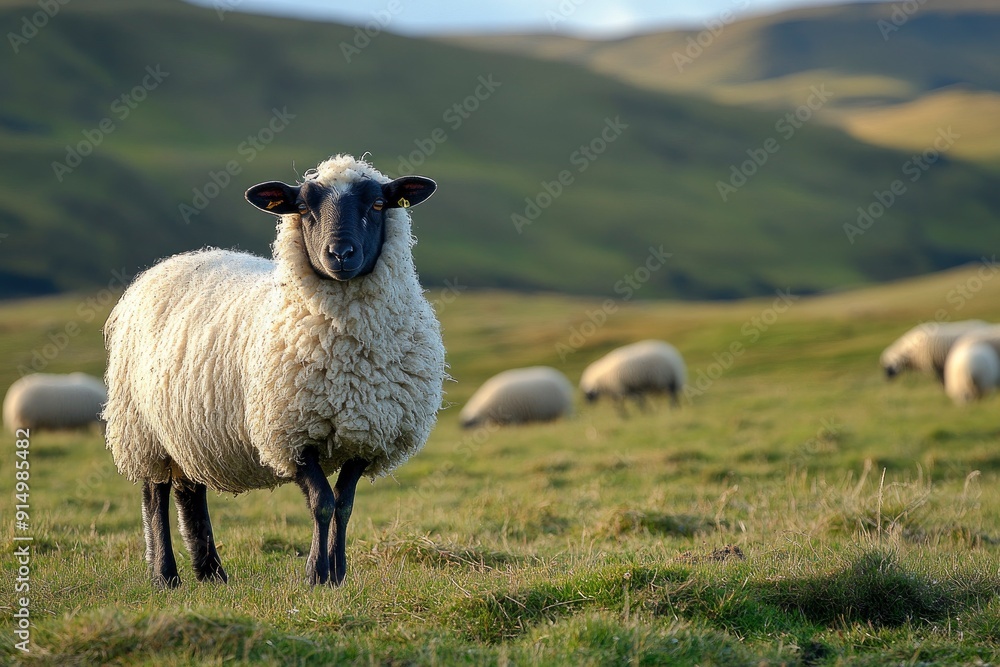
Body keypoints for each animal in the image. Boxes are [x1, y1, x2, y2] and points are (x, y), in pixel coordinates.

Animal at [103, 154, 445, 588]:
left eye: (378, 205)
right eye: (303, 209)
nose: (340, 253)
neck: (346, 363)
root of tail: (169, 263)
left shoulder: (366, 435)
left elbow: (344, 504)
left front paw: (338, 573)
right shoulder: (289, 434)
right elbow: (321, 502)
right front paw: (316, 574)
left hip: (188, 426)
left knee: (189, 493)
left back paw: (212, 573)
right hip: (142, 428)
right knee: (155, 495)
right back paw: (165, 575)